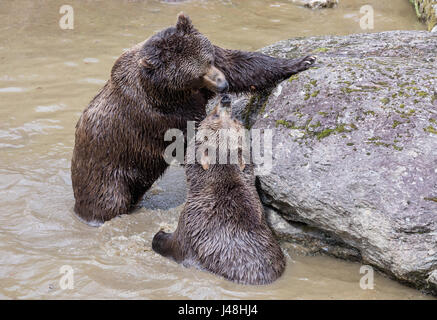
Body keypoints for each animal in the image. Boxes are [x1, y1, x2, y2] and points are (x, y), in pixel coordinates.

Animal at [71, 12, 316, 226]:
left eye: (208, 61)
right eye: (195, 75)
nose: (223, 85)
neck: (167, 93)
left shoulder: (212, 68)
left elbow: (243, 64)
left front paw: (303, 60)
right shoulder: (156, 116)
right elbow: (189, 137)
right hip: (109, 172)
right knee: (109, 201)